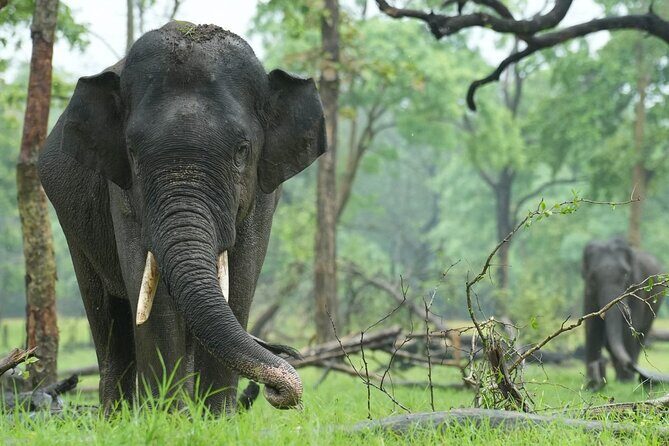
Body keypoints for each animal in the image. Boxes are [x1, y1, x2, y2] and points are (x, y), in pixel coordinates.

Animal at [38, 22, 326, 412]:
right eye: (132, 152)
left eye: (241, 151)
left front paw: (215, 418)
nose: (277, 390)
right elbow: (149, 291)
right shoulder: (122, 192)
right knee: (106, 317)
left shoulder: (263, 194)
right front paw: (166, 416)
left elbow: (240, 282)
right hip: (73, 229)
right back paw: (117, 415)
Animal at [582, 237, 666, 390]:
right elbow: (592, 328)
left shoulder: (638, 288)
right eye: (592, 277)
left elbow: (629, 330)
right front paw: (591, 382)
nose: (629, 364)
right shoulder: (588, 292)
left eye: (626, 274)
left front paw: (625, 381)